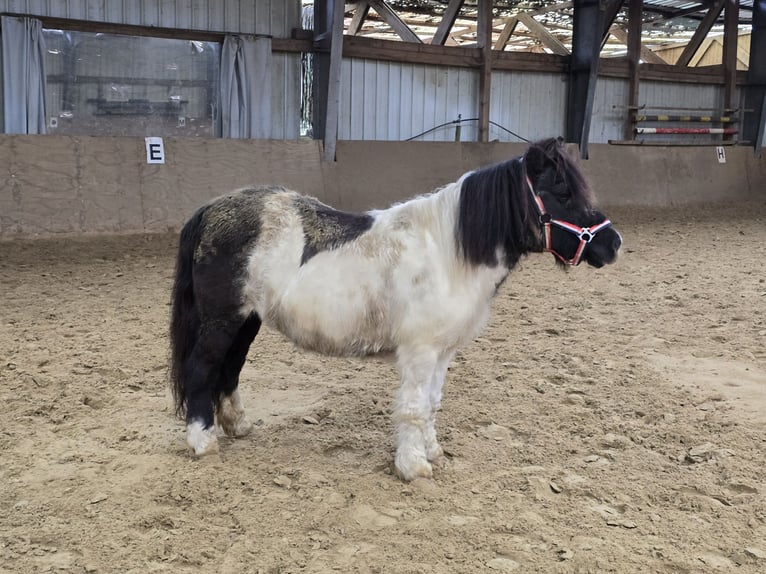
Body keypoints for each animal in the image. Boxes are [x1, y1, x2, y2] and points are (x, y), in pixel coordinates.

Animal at [170, 138, 624, 482]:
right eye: (562, 193)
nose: (613, 243)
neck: (448, 253)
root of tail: (210, 210)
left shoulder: (443, 352)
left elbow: (431, 403)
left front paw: (432, 451)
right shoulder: (420, 351)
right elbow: (412, 406)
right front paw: (413, 466)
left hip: (246, 322)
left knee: (229, 370)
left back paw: (238, 426)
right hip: (221, 322)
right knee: (202, 370)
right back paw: (202, 441)